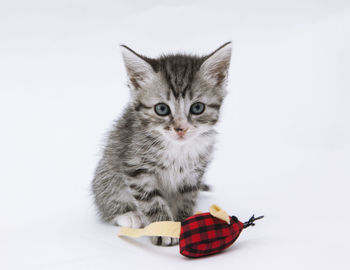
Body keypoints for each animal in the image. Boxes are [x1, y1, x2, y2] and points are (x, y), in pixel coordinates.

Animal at [91, 41, 231, 246]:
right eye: (162, 109)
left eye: (197, 107)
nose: (180, 129)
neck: (177, 148)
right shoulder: (136, 168)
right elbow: (151, 200)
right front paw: (163, 229)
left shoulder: (194, 173)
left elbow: (186, 197)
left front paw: (183, 222)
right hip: (107, 171)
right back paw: (129, 215)